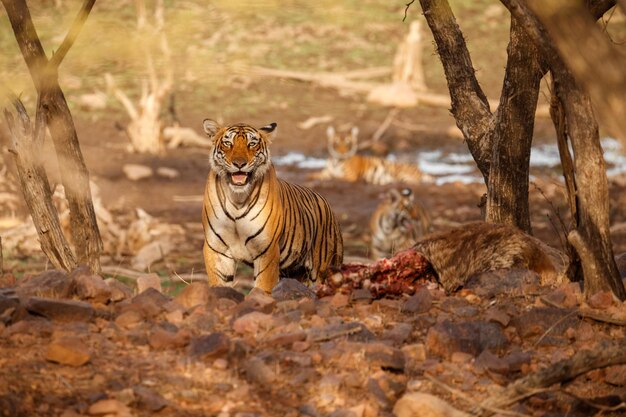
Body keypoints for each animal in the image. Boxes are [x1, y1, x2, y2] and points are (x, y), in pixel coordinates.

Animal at [200, 118, 342, 290]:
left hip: (323, 269)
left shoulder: (267, 250)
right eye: (228, 143)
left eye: (252, 144)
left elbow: (263, 287)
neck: (237, 199)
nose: (239, 164)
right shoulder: (216, 250)